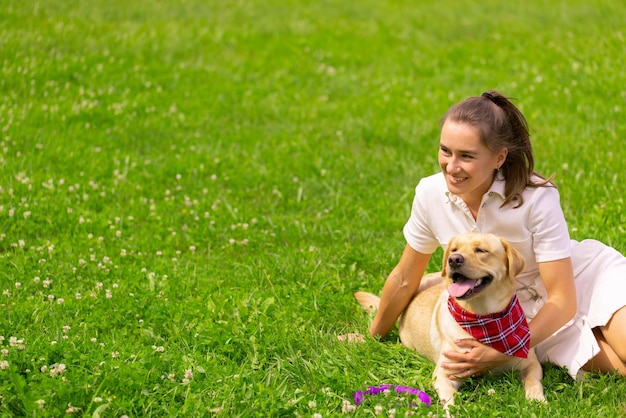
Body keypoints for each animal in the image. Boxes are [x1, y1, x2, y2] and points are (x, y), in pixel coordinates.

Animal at [354, 233, 544, 414]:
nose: (454, 260)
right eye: (454, 249)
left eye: (481, 250)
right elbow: (452, 399)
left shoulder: (531, 364)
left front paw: (538, 401)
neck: (483, 319)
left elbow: (533, 382)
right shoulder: (444, 374)